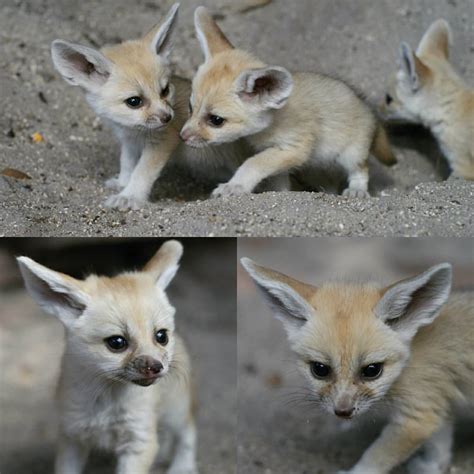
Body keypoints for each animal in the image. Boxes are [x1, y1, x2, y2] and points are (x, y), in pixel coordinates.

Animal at [17, 241, 198, 474]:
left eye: (161, 336)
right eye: (117, 342)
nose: (155, 366)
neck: (106, 404)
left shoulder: (139, 440)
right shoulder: (72, 435)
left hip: (176, 411)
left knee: (188, 430)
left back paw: (182, 465)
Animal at [50, 3, 250, 210]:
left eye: (165, 90)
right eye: (134, 101)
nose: (168, 117)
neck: (135, 132)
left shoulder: (163, 141)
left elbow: (142, 171)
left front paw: (130, 196)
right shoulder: (129, 141)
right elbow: (127, 163)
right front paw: (122, 183)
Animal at [181, 7, 396, 200]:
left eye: (216, 120)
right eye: (190, 108)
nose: (182, 136)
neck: (274, 119)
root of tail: (367, 107)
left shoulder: (294, 147)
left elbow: (254, 163)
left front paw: (235, 185)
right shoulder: (279, 153)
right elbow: (278, 181)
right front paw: (280, 194)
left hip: (351, 154)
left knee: (361, 169)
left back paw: (357, 190)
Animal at [243, 260, 472, 474]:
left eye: (372, 370)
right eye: (320, 369)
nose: (343, 412)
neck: (409, 360)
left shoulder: (418, 416)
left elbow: (377, 455)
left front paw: (357, 472)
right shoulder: (436, 404)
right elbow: (440, 443)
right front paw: (434, 466)